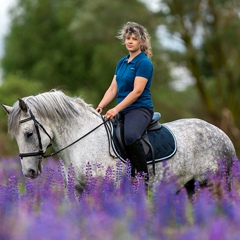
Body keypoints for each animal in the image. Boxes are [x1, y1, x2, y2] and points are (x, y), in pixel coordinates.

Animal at [0, 90, 236, 193]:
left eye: (29, 134)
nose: (29, 172)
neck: (82, 142)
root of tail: (223, 135)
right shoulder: (77, 191)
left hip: (215, 184)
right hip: (190, 186)